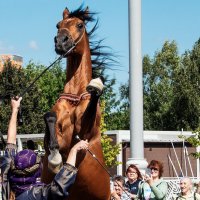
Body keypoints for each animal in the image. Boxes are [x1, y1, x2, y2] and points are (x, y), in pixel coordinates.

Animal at [41, 5, 111, 199]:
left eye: (80, 25)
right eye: (58, 25)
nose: (60, 42)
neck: (75, 99)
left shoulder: (85, 132)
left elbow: (92, 104)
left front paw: (96, 85)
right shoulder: (60, 136)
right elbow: (49, 121)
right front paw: (55, 159)